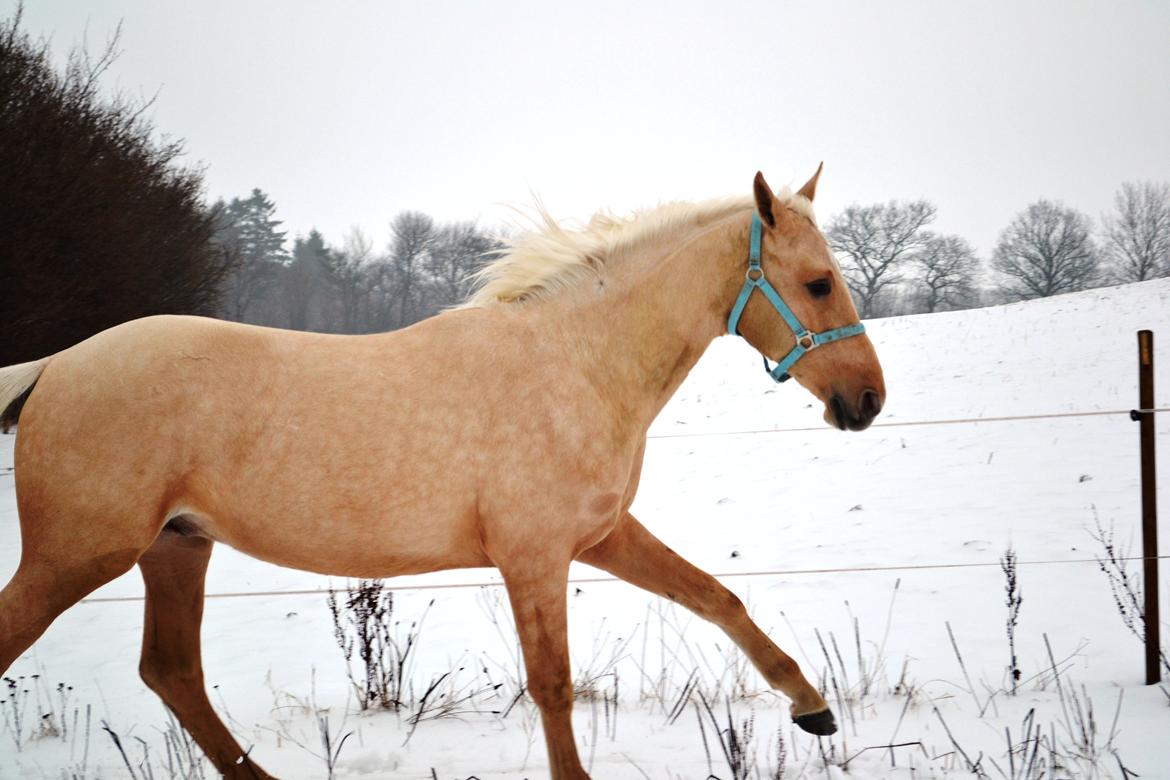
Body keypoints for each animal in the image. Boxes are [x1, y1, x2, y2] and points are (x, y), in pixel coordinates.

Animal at [0, 168, 879, 776]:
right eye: (817, 282)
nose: (868, 399)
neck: (574, 363)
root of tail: (54, 367)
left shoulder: (599, 536)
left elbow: (716, 597)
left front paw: (813, 710)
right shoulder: (534, 556)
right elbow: (553, 684)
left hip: (177, 545)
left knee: (172, 670)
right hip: (78, 555)